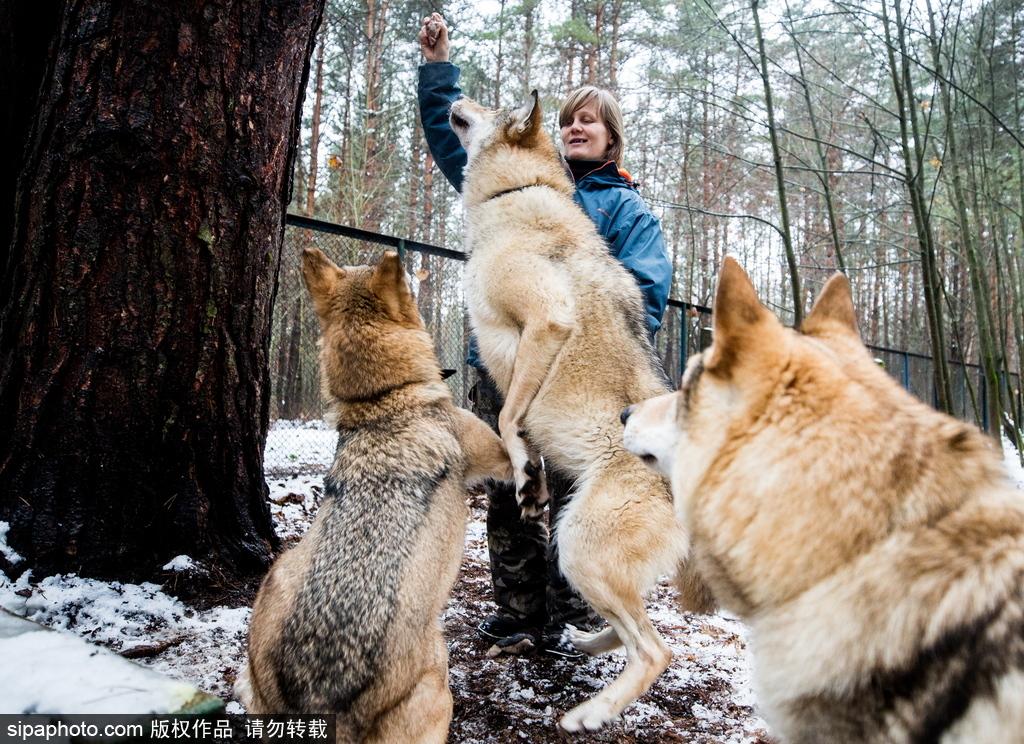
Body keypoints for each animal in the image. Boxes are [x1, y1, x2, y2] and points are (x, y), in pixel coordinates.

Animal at [448, 93, 712, 732]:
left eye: (492, 103)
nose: (455, 98)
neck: (517, 194)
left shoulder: (547, 323)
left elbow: (510, 420)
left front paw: (524, 471)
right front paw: (528, 480)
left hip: (578, 548)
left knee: (656, 649)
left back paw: (589, 714)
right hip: (581, 556)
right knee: (630, 632)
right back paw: (581, 642)